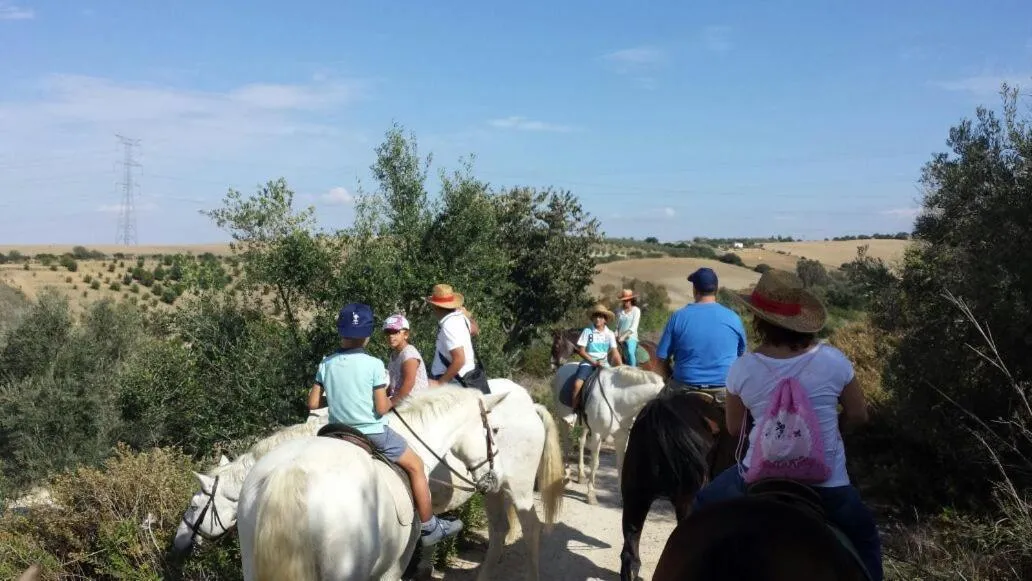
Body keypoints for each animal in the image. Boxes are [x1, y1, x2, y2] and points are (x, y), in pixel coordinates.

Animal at [552, 363, 665, 505]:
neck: (618, 400)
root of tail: (563, 367)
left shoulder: (622, 437)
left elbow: (621, 465)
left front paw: (622, 497)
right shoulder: (597, 434)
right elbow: (595, 463)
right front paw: (591, 495)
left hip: (584, 426)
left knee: (581, 442)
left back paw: (581, 475)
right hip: (563, 420)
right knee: (567, 444)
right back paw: (567, 478)